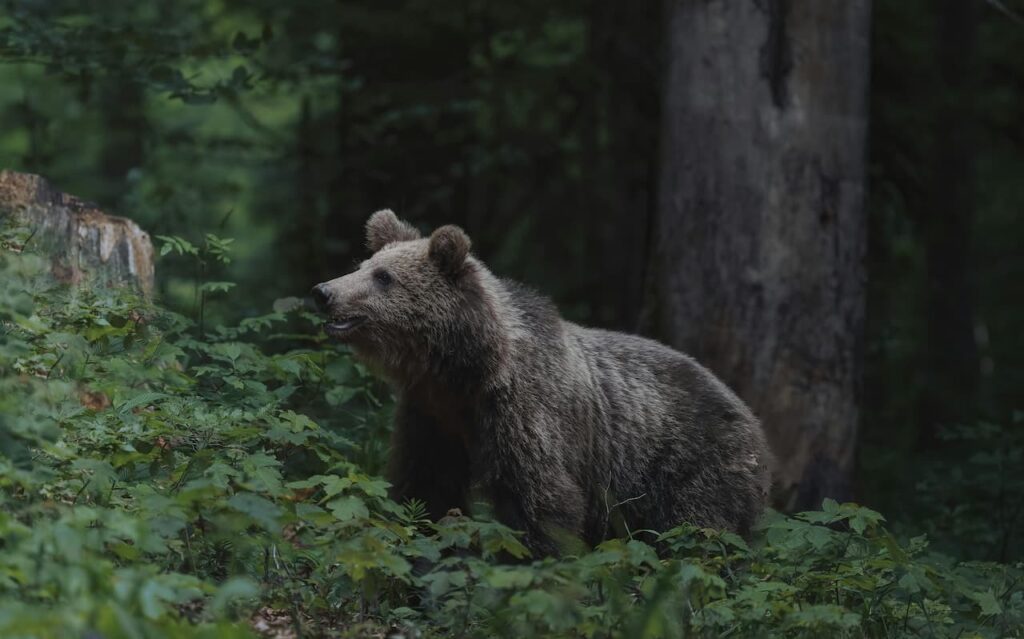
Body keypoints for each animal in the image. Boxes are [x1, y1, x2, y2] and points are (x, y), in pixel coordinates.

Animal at [312, 210, 772, 556]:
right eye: (361, 266)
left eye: (383, 277)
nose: (323, 291)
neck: (465, 372)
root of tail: (751, 416)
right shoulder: (431, 415)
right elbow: (426, 487)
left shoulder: (523, 411)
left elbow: (540, 500)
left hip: (689, 461)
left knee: (700, 530)